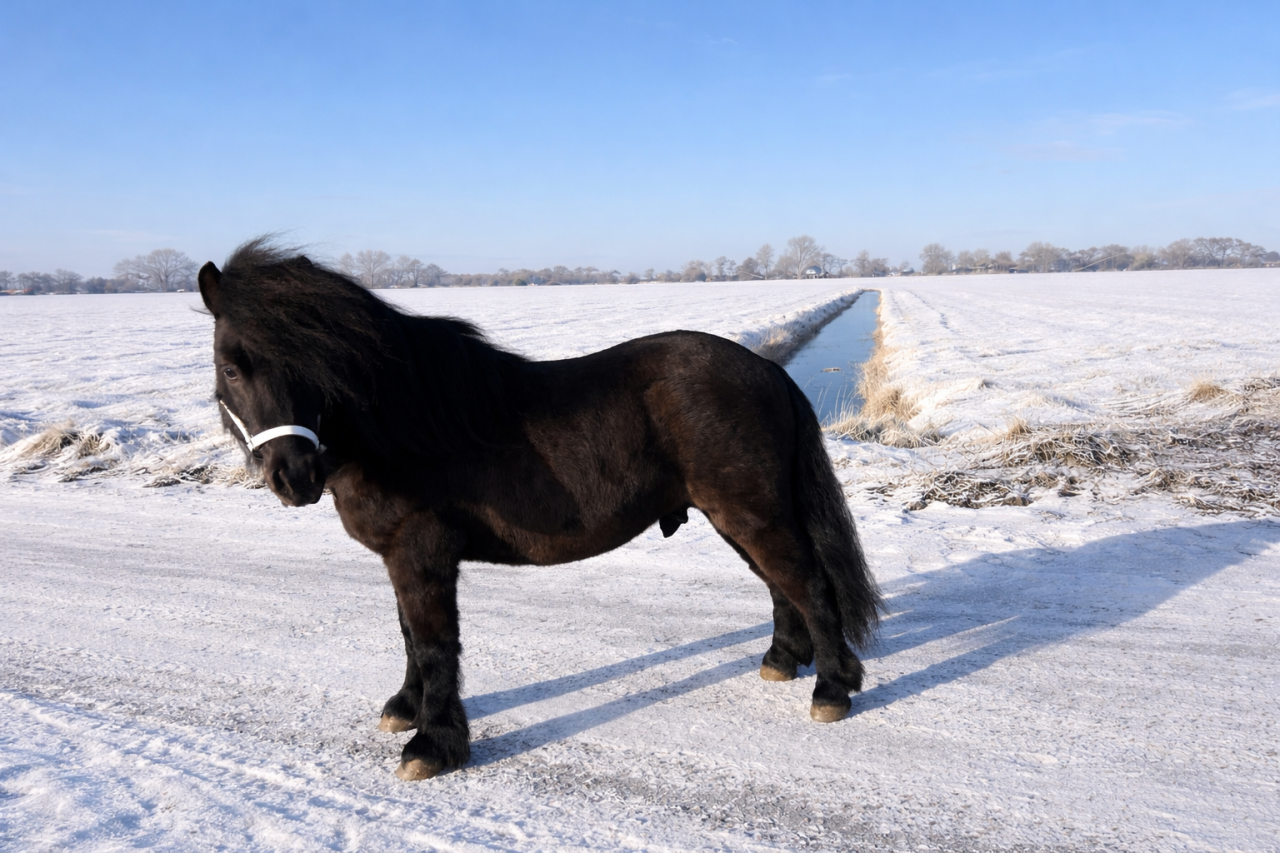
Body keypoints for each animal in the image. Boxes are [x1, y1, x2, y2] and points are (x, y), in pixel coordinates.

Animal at [198, 238, 881, 781]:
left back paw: (832, 689)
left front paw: (434, 744)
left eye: (313, 360)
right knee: (780, 586)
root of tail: (765, 367)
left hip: (751, 512)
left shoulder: (421, 553)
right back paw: (782, 661)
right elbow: (409, 636)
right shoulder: (398, 558)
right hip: (736, 516)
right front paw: (405, 708)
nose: (293, 477)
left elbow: (434, 643)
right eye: (231, 367)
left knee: (809, 584)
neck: (404, 426)